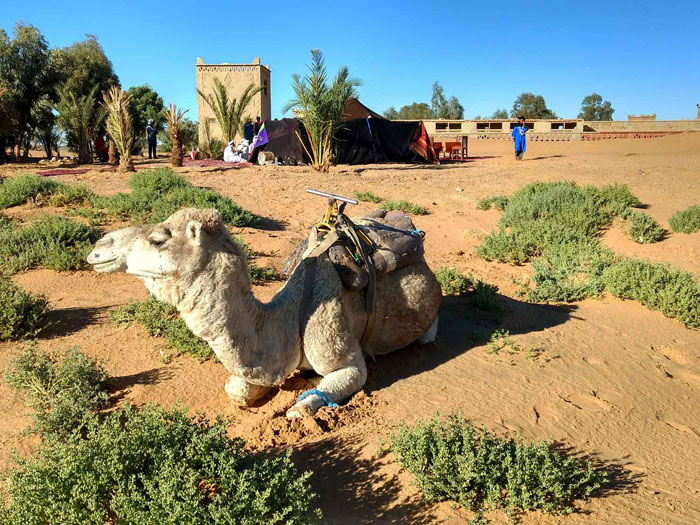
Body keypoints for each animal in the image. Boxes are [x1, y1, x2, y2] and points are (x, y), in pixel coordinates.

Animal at [86, 207, 438, 416]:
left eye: (159, 239)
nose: (99, 247)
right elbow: (237, 389)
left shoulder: (346, 360)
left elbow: (303, 405)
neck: (288, 320)